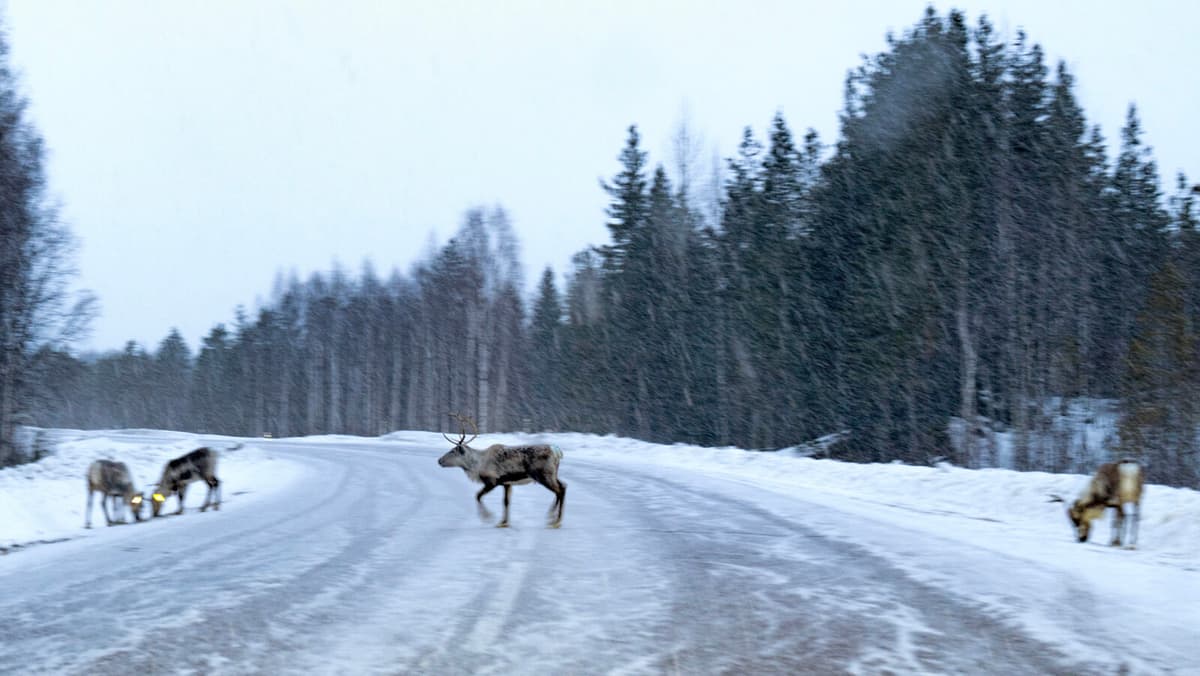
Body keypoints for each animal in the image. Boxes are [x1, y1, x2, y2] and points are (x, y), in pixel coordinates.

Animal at [437, 413, 566, 528]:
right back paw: (556, 519)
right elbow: (506, 502)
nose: (439, 460)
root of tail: (557, 452)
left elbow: (478, 496)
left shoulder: (492, 481)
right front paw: (503, 522)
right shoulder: (506, 483)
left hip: (544, 475)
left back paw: (553, 519)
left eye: (453, 451)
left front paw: (488, 517)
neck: (478, 465)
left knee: (559, 491)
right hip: (553, 474)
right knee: (563, 486)